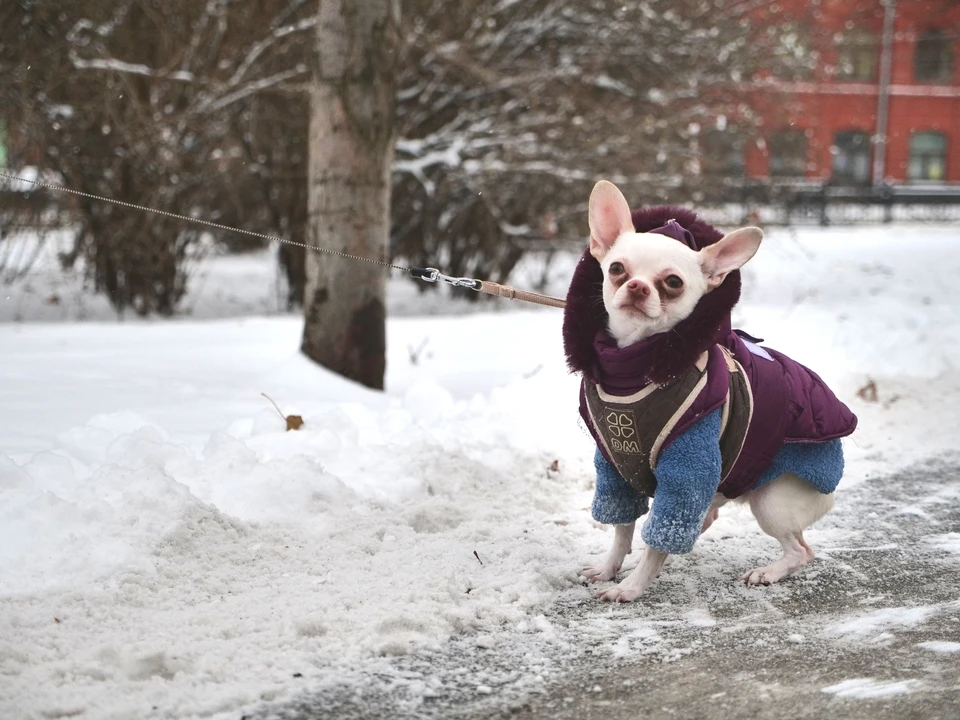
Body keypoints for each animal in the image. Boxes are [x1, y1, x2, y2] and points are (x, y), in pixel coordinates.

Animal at [568, 181, 860, 600]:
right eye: (616, 269)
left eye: (673, 282)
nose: (637, 286)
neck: (635, 369)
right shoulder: (615, 472)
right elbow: (622, 530)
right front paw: (610, 568)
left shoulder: (686, 477)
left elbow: (658, 537)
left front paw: (633, 586)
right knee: (709, 516)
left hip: (772, 501)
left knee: (801, 550)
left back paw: (768, 572)